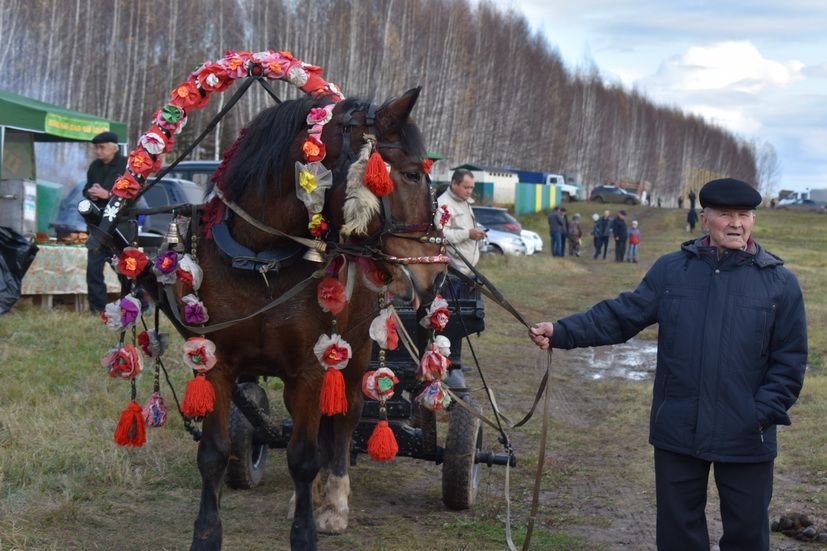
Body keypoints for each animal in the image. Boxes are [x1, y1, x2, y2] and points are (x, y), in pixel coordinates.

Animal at [149, 88, 446, 548]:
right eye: (413, 174)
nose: (436, 271)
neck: (259, 258)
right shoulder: (215, 363)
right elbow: (214, 453)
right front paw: (206, 534)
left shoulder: (309, 368)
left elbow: (305, 456)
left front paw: (308, 529)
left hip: (355, 355)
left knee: (344, 420)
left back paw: (333, 502)